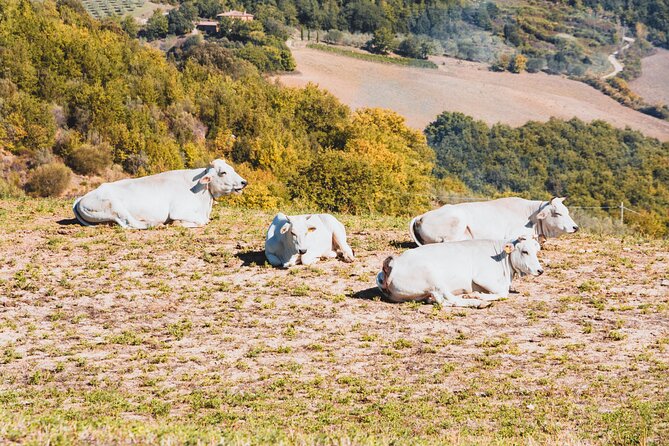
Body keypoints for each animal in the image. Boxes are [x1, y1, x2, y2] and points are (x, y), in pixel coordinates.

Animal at [72, 159, 247, 229]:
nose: (244, 182)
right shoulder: (179, 210)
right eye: (223, 172)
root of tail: (81, 198)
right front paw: (177, 223)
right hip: (114, 206)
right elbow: (202, 221)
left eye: (232, 169)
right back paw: (155, 224)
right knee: (130, 223)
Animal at [376, 236, 543, 308]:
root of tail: (393, 265)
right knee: (447, 300)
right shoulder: (482, 277)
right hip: (434, 279)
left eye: (536, 251)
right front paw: (480, 296)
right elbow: (503, 293)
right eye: (525, 251)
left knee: (441, 300)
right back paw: (477, 302)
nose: (540, 270)